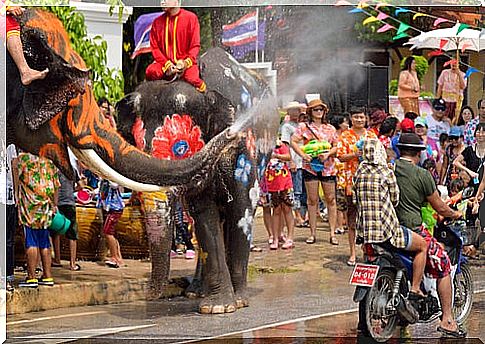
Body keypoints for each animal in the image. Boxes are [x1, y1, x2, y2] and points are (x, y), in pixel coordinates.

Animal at [115, 47, 278, 314]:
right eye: (136, 145)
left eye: (180, 148)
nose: (149, 295)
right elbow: (203, 214)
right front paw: (216, 308)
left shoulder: (244, 149)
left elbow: (242, 207)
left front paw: (237, 302)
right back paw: (195, 292)